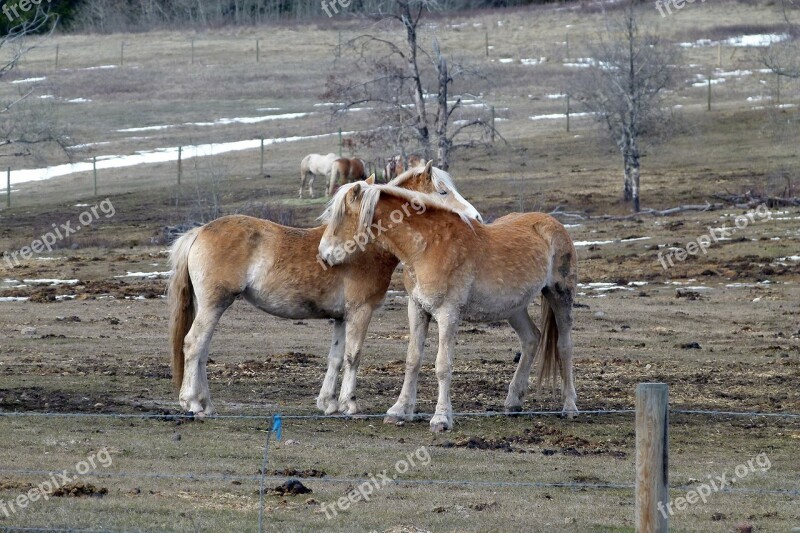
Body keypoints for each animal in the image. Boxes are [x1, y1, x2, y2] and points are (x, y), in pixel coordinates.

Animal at [167, 162, 482, 416]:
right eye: (443, 192)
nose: (476, 218)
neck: (367, 246)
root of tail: (199, 231)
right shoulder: (360, 311)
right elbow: (354, 355)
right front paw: (349, 404)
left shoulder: (341, 318)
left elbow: (336, 357)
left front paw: (328, 402)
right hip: (214, 304)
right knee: (193, 344)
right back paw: (192, 402)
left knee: (202, 349)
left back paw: (206, 403)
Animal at [318, 181, 576, 430]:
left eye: (340, 215)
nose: (323, 255)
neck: (427, 248)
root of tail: (552, 223)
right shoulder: (417, 308)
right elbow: (412, 359)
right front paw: (400, 410)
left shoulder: (447, 313)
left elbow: (443, 365)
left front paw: (441, 418)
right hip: (514, 307)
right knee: (531, 338)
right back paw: (513, 401)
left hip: (560, 296)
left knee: (564, 347)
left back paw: (570, 406)